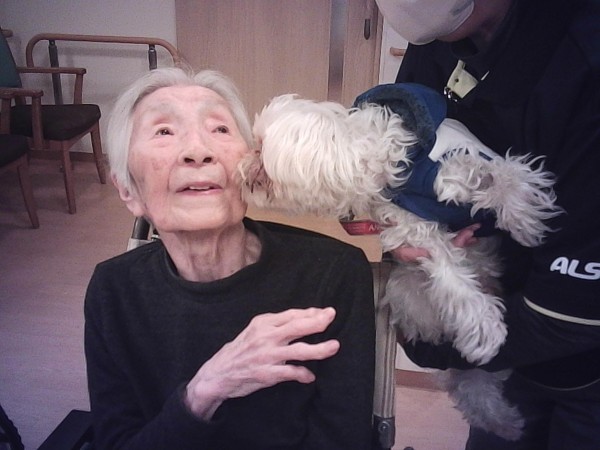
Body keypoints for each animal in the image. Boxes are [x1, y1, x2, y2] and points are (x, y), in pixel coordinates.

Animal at [238, 83, 562, 440]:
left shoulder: (463, 157)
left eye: (260, 148)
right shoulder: (416, 233)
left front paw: (525, 218)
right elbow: (453, 281)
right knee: (473, 391)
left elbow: (499, 170)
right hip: (410, 293)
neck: (400, 166)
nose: (242, 162)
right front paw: (485, 329)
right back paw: (506, 424)